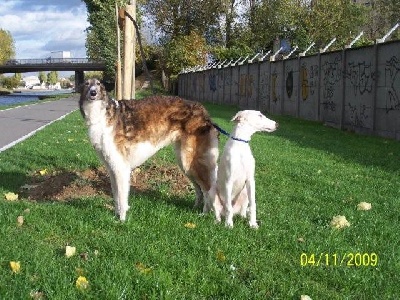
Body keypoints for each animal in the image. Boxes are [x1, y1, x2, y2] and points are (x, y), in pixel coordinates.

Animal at [79, 78, 219, 221]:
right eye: (87, 84)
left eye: (98, 84)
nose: (93, 93)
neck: (104, 114)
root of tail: (204, 112)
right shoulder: (112, 168)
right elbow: (116, 198)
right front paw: (116, 216)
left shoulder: (121, 168)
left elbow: (122, 200)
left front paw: (121, 220)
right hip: (184, 163)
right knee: (200, 190)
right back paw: (197, 210)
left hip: (190, 161)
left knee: (209, 190)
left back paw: (210, 217)